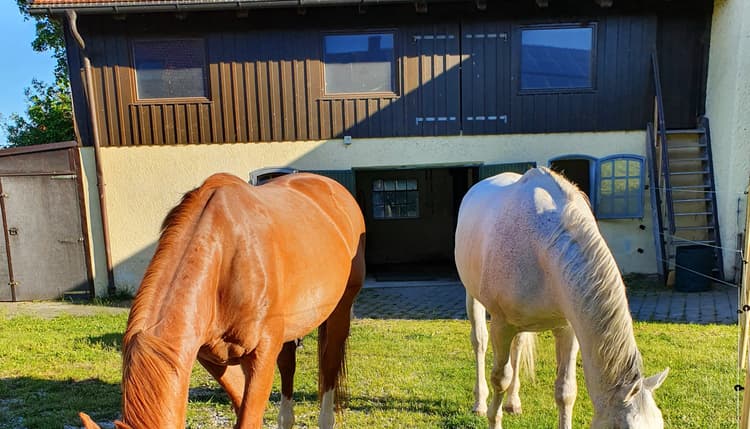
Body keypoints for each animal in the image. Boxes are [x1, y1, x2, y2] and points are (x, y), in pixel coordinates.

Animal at [78, 172, 366, 429]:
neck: (224, 257)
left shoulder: (262, 353)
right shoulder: (214, 358)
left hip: (339, 312)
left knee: (329, 365)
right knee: (288, 368)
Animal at [454, 167, 668, 429]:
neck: (542, 247)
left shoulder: (568, 328)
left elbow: (566, 391)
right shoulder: (502, 326)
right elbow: (500, 379)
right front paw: (493, 418)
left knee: (518, 346)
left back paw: (513, 402)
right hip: (473, 297)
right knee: (480, 342)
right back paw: (480, 403)